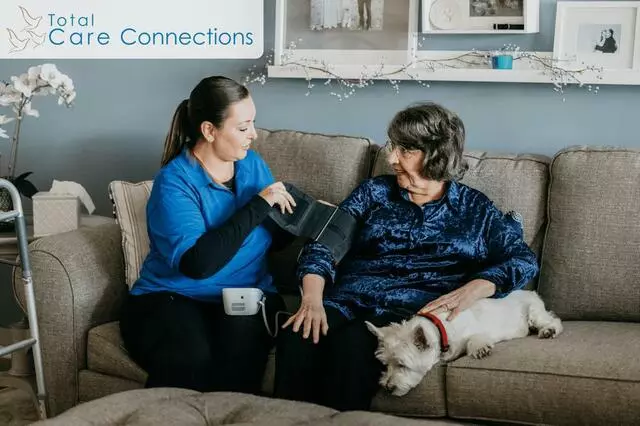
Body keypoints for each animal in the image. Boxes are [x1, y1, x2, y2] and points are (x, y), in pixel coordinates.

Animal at [365, 290, 563, 397]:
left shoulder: (477, 330)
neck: (441, 328)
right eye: (385, 365)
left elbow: (473, 339)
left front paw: (480, 348)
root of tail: (531, 292)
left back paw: (548, 330)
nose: (388, 387)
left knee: (553, 320)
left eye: (402, 364)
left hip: (533, 311)